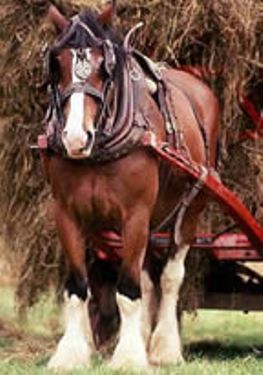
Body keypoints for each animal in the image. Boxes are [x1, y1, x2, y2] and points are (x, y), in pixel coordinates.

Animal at [42, 2, 221, 374]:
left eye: (104, 67)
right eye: (56, 64)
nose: (76, 138)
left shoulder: (135, 213)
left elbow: (127, 289)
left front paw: (128, 357)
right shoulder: (66, 213)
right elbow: (79, 287)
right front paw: (71, 354)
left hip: (193, 204)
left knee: (170, 277)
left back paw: (165, 347)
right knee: (148, 278)